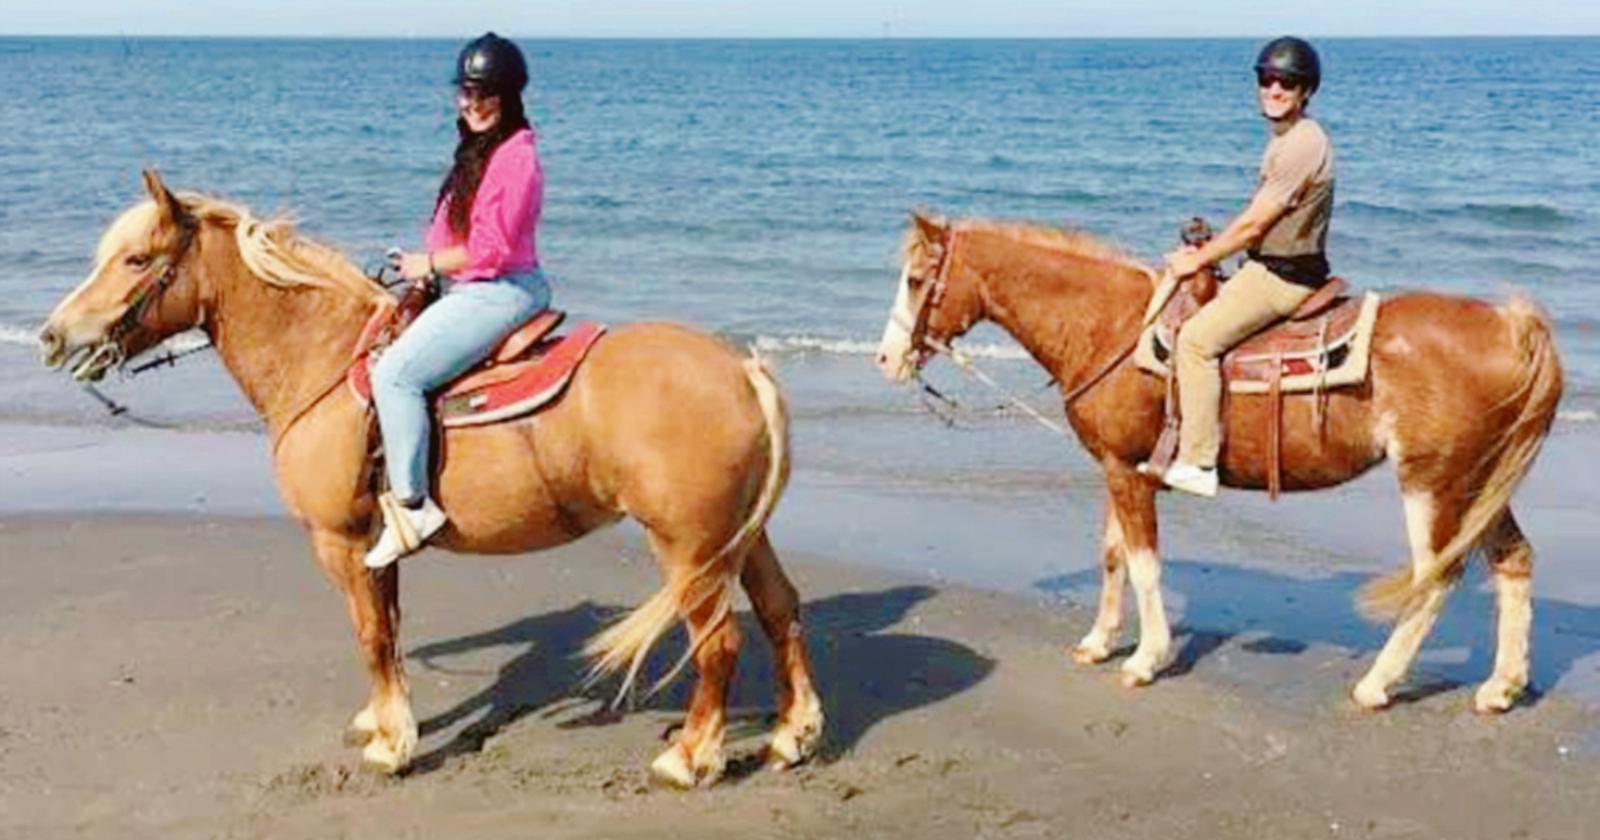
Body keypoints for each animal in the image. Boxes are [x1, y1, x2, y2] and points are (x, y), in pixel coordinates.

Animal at [36, 171, 825, 787]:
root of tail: (741, 368)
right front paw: (383, 720)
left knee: (718, 642)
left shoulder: (340, 540)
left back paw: (689, 760)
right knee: (780, 610)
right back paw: (793, 735)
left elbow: (369, 635)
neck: (323, 361)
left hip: (689, 547)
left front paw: (392, 746)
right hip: (737, 537)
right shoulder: (375, 545)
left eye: (137, 259)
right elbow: (387, 628)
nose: (51, 335)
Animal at [876, 212, 1562, 712]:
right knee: (1514, 561)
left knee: (1436, 576)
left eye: (915, 280)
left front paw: (1145, 659)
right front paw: (1099, 642)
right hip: (1479, 485)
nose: (885, 358)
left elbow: (1145, 564)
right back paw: (1502, 687)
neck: (1109, 325)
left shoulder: (1128, 473)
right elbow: (1113, 555)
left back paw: (1377, 684)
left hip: (1433, 483)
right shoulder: (1116, 467)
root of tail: (1510, 327)